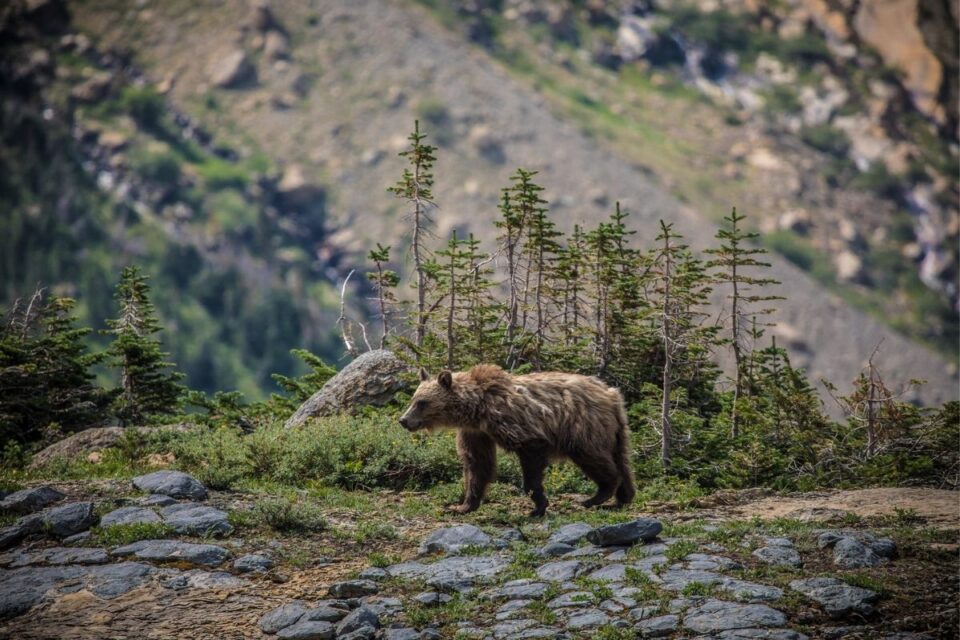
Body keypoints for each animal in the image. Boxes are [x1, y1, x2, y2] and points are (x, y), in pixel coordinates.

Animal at [398, 364, 636, 516]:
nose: (404, 420)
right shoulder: (476, 433)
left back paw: (596, 496)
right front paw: (462, 506)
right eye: (414, 399)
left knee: (593, 457)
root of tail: (611, 393)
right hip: (617, 430)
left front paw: (538, 506)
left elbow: (530, 456)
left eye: (422, 402)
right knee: (621, 458)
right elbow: (477, 464)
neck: (476, 409)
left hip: (582, 426)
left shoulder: (513, 423)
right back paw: (623, 497)